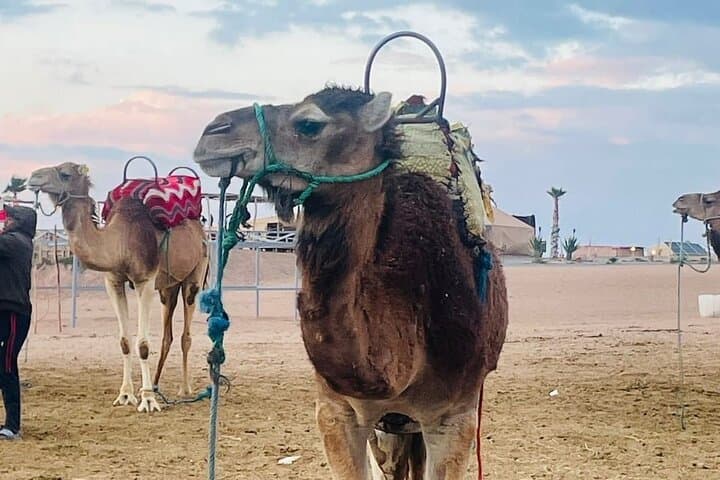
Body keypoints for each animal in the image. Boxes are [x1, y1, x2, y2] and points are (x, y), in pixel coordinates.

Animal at [28, 162, 209, 413]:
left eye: (65, 174)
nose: (33, 177)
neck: (120, 241)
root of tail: (199, 227)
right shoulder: (113, 282)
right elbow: (124, 341)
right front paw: (126, 395)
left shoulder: (145, 281)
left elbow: (143, 343)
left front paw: (148, 400)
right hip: (168, 287)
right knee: (167, 335)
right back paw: (156, 384)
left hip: (195, 274)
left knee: (186, 335)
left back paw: (184, 389)